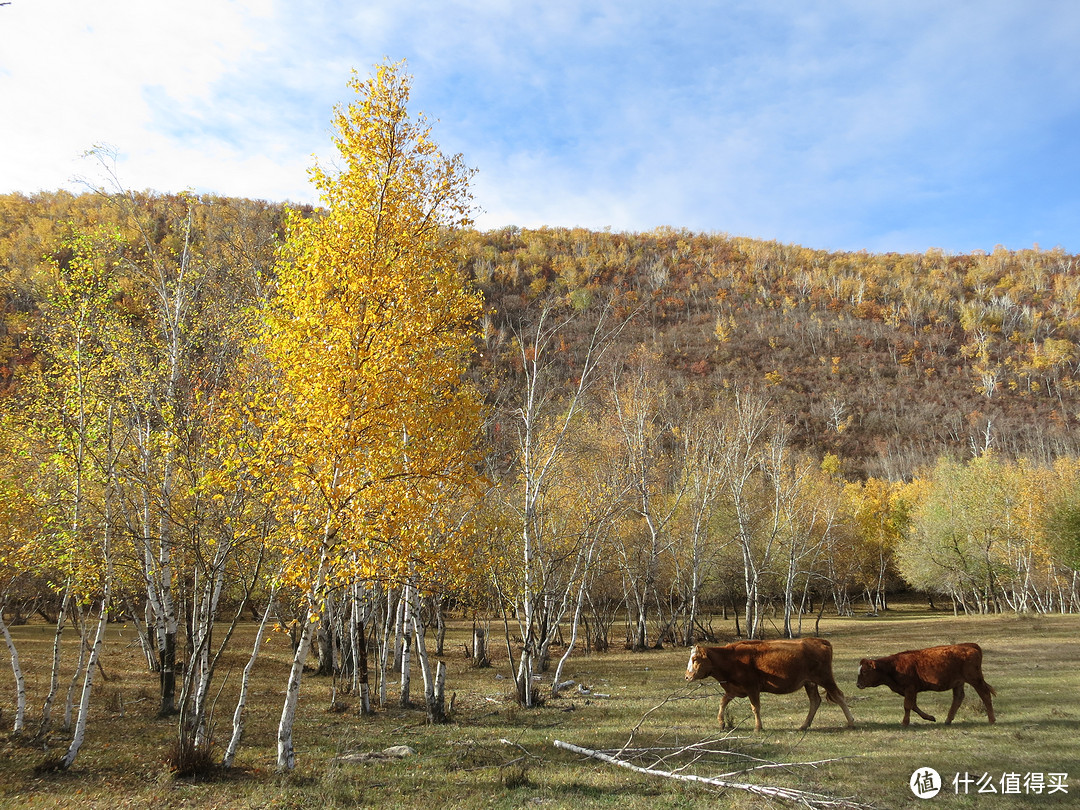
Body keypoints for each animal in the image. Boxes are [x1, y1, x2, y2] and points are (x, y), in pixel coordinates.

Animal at [686, 639, 855, 734]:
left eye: (695, 659)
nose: (687, 676)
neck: (731, 659)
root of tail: (820, 641)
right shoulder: (734, 689)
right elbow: (722, 702)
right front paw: (721, 723)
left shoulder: (752, 687)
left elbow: (755, 708)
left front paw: (757, 728)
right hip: (810, 682)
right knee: (815, 701)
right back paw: (804, 725)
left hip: (825, 678)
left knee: (839, 695)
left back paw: (851, 722)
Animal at [855, 648, 997, 730]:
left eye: (865, 671)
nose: (858, 684)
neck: (893, 667)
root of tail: (971, 646)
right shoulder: (910, 690)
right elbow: (913, 706)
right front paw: (930, 717)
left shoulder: (910, 688)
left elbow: (907, 706)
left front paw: (905, 723)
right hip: (958, 682)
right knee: (958, 698)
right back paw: (948, 720)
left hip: (975, 679)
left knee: (985, 695)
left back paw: (992, 720)